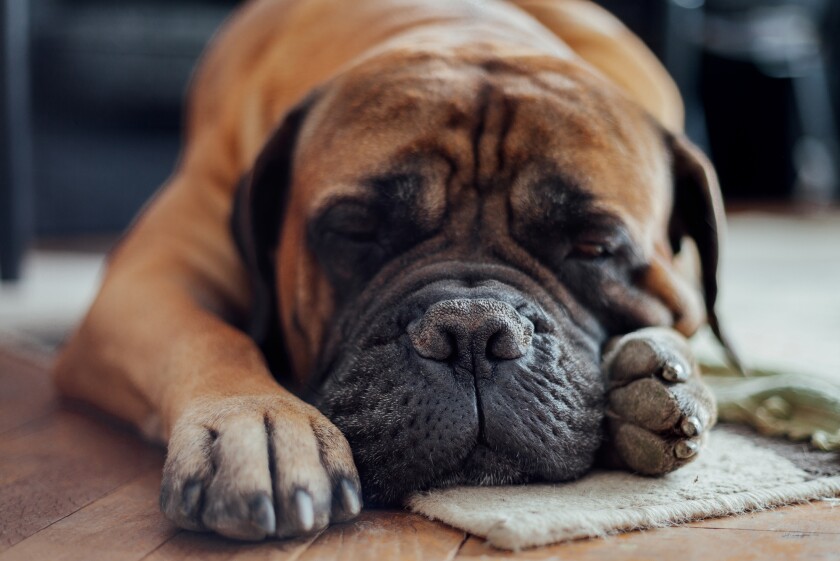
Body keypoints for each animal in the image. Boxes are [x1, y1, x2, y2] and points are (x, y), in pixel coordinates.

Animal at [55, 0, 732, 544]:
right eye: (357, 229)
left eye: (592, 245)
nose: (473, 330)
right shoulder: (147, 280)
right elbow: (210, 335)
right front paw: (258, 423)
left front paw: (662, 379)